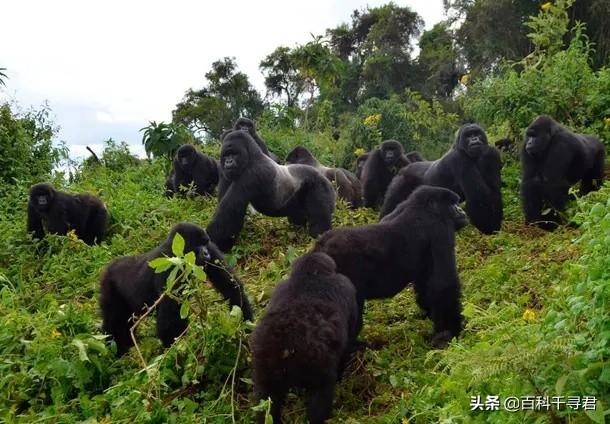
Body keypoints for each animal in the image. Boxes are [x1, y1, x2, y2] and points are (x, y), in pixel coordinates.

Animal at [100, 222, 252, 354]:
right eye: (198, 245)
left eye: (205, 243)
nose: (206, 253)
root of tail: (109, 267)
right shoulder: (171, 269)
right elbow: (170, 319)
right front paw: (175, 352)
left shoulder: (212, 249)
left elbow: (230, 286)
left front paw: (245, 324)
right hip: (108, 284)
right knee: (114, 322)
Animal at [251, 252, 356, 424]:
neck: (310, 275)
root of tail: (286, 346)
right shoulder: (345, 285)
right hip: (315, 366)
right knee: (321, 394)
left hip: (265, 361)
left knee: (266, 400)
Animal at [314, 186, 466, 348]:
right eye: (453, 204)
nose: (462, 211)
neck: (424, 207)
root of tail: (321, 246)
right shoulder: (440, 229)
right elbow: (443, 284)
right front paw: (448, 334)